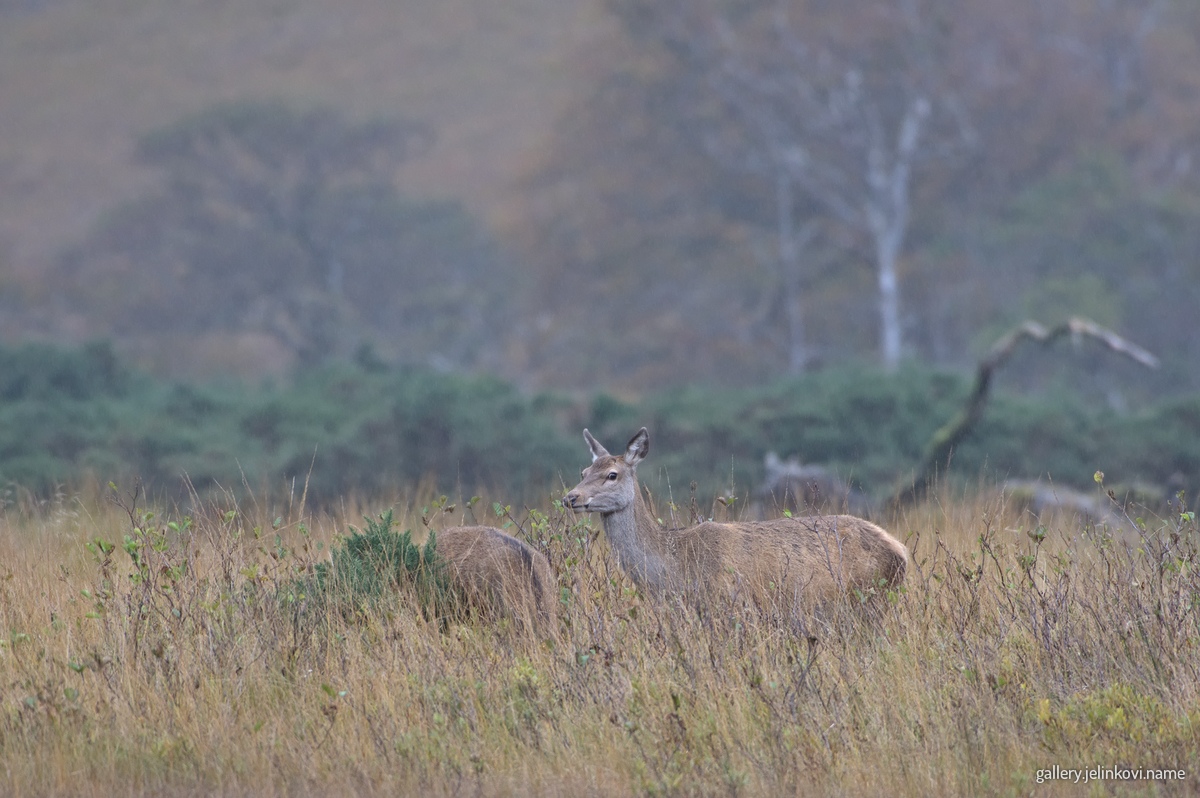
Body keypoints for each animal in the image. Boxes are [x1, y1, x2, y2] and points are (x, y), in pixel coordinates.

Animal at [565, 428, 908, 611]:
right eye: (583, 471)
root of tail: (901, 550)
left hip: (870, 598)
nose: (571, 497)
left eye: (612, 474)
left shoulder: (731, 604)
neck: (675, 570)